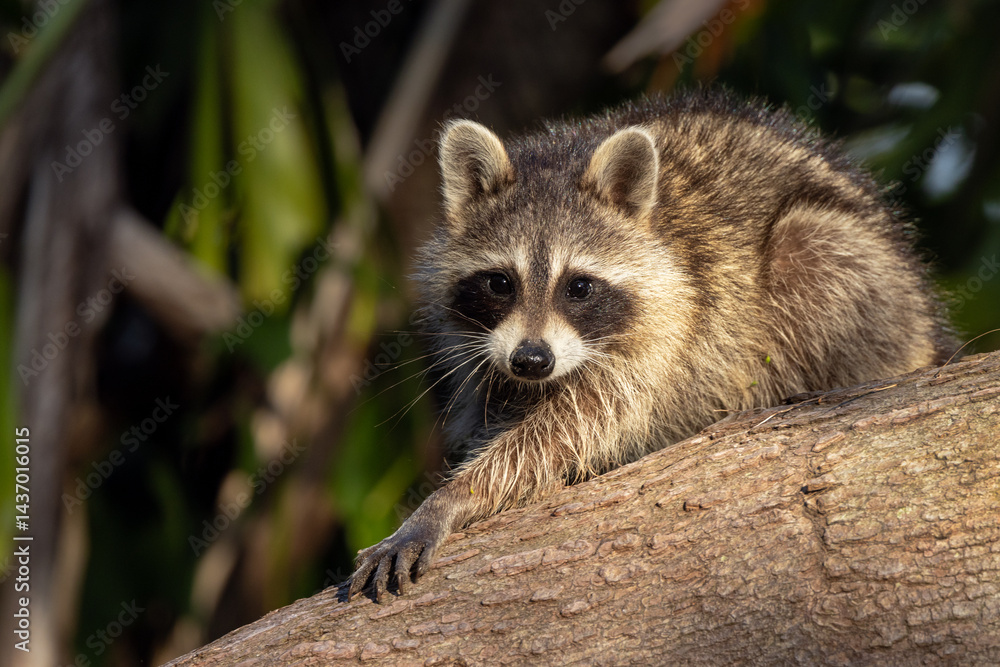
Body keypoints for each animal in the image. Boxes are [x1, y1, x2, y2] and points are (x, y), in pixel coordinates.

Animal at [349, 90, 953, 601]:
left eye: (578, 286)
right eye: (501, 282)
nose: (532, 360)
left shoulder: (665, 334)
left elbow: (563, 433)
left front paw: (451, 499)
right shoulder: (480, 346)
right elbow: (495, 410)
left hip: (864, 282)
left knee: (806, 244)